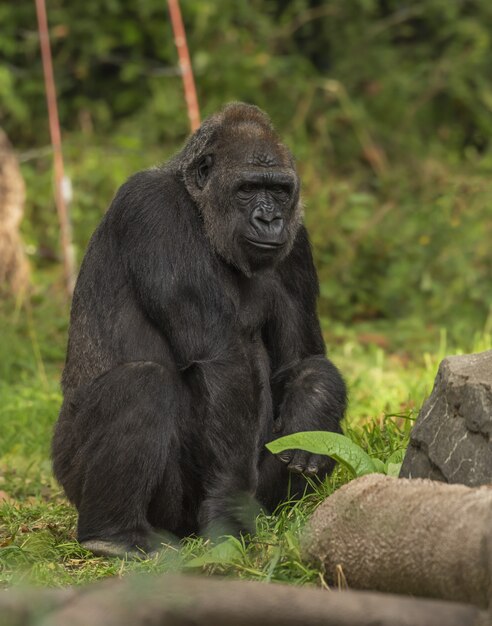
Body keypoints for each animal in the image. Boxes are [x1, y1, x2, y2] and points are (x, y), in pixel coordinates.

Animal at [52, 102, 346, 556]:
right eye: (247, 188)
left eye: (280, 191)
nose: (270, 218)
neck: (199, 207)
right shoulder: (153, 209)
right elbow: (221, 359)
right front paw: (229, 507)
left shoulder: (297, 243)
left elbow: (302, 359)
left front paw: (313, 408)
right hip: (74, 472)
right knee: (141, 385)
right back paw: (112, 533)